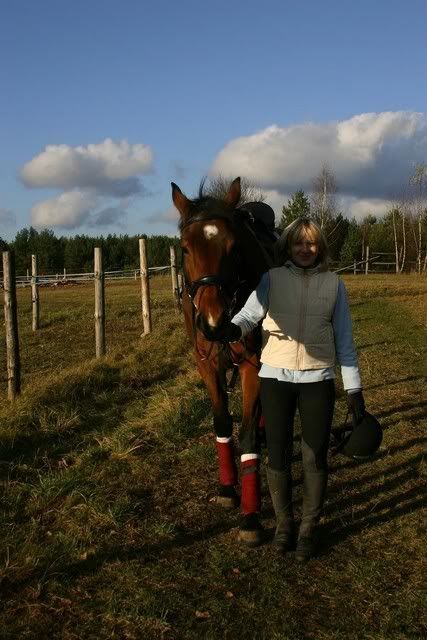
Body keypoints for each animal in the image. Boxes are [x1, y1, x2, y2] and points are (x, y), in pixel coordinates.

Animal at [171, 177, 276, 545]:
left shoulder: (252, 366)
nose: (213, 322)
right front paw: (228, 489)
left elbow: (246, 434)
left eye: (233, 247)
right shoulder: (207, 366)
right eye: (185, 248)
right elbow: (221, 423)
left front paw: (250, 516)